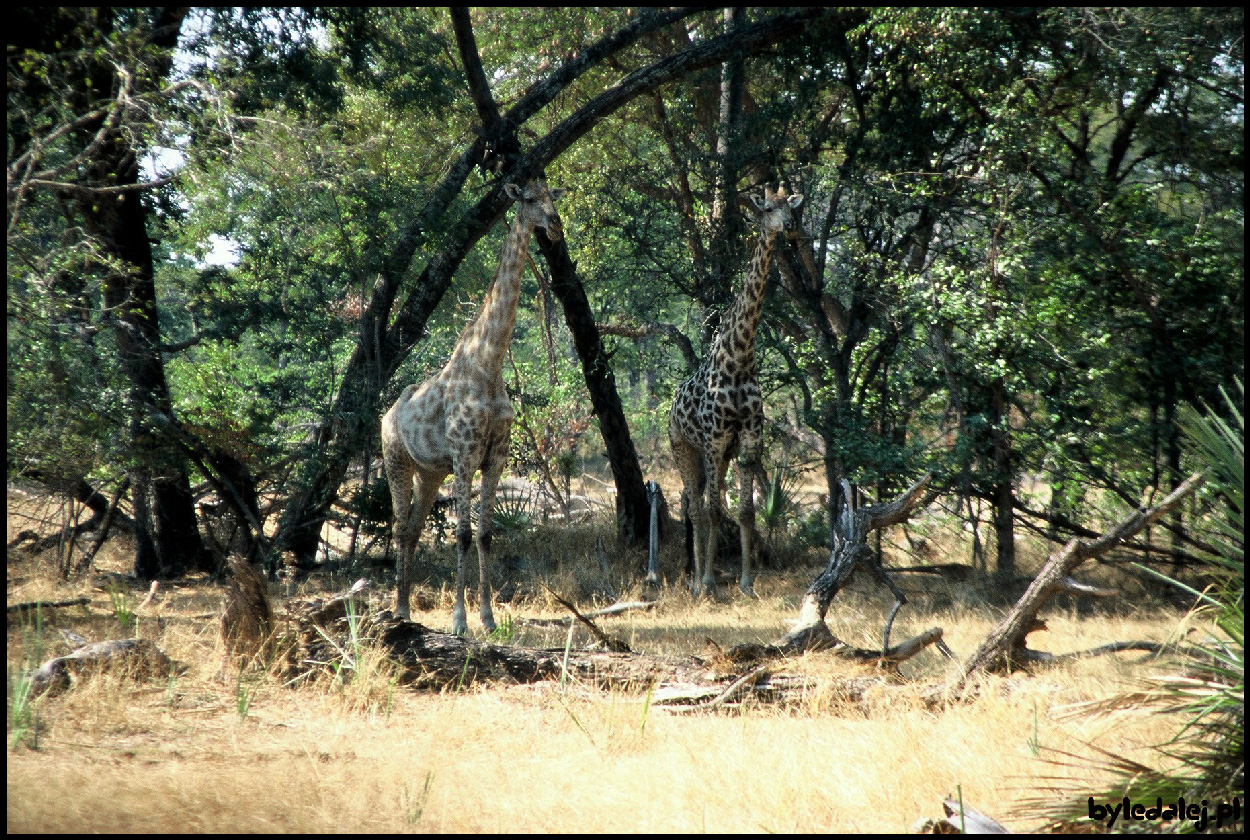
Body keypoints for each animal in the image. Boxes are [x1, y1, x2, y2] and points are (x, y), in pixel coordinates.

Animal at [380, 178, 567, 637]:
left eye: (551, 195)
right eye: (529, 199)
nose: (555, 225)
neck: (490, 362)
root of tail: (387, 414)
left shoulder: (494, 455)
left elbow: (485, 534)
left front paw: (489, 618)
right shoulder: (465, 454)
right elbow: (462, 534)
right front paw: (461, 622)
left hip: (430, 473)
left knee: (414, 529)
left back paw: (406, 607)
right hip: (396, 461)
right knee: (399, 527)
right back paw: (399, 609)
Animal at [670, 183, 805, 597]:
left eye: (791, 206)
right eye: (766, 208)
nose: (790, 227)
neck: (740, 356)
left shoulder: (747, 435)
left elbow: (745, 511)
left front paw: (746, 582)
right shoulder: (714, 438)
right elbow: (716, 510)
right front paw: (710, 582)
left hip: (718, 454)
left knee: (695, 502)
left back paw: (700, 576)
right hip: (684, 448)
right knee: (696, 507)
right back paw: (697, 583)